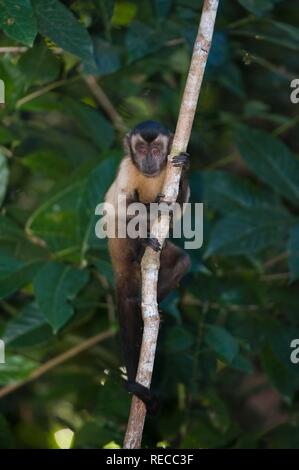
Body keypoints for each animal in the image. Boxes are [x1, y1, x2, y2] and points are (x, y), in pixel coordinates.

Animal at [104, 120, 191, 412]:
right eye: (141, 149)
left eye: (155, 150)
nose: (150, 160)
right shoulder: (127, 168)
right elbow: (124, 208)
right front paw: (150, 212)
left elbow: (181, 208)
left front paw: (185, 166)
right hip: (120, 249)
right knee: (128, 213)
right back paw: (141, 245)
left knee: (180, 261)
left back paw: (147, 306)